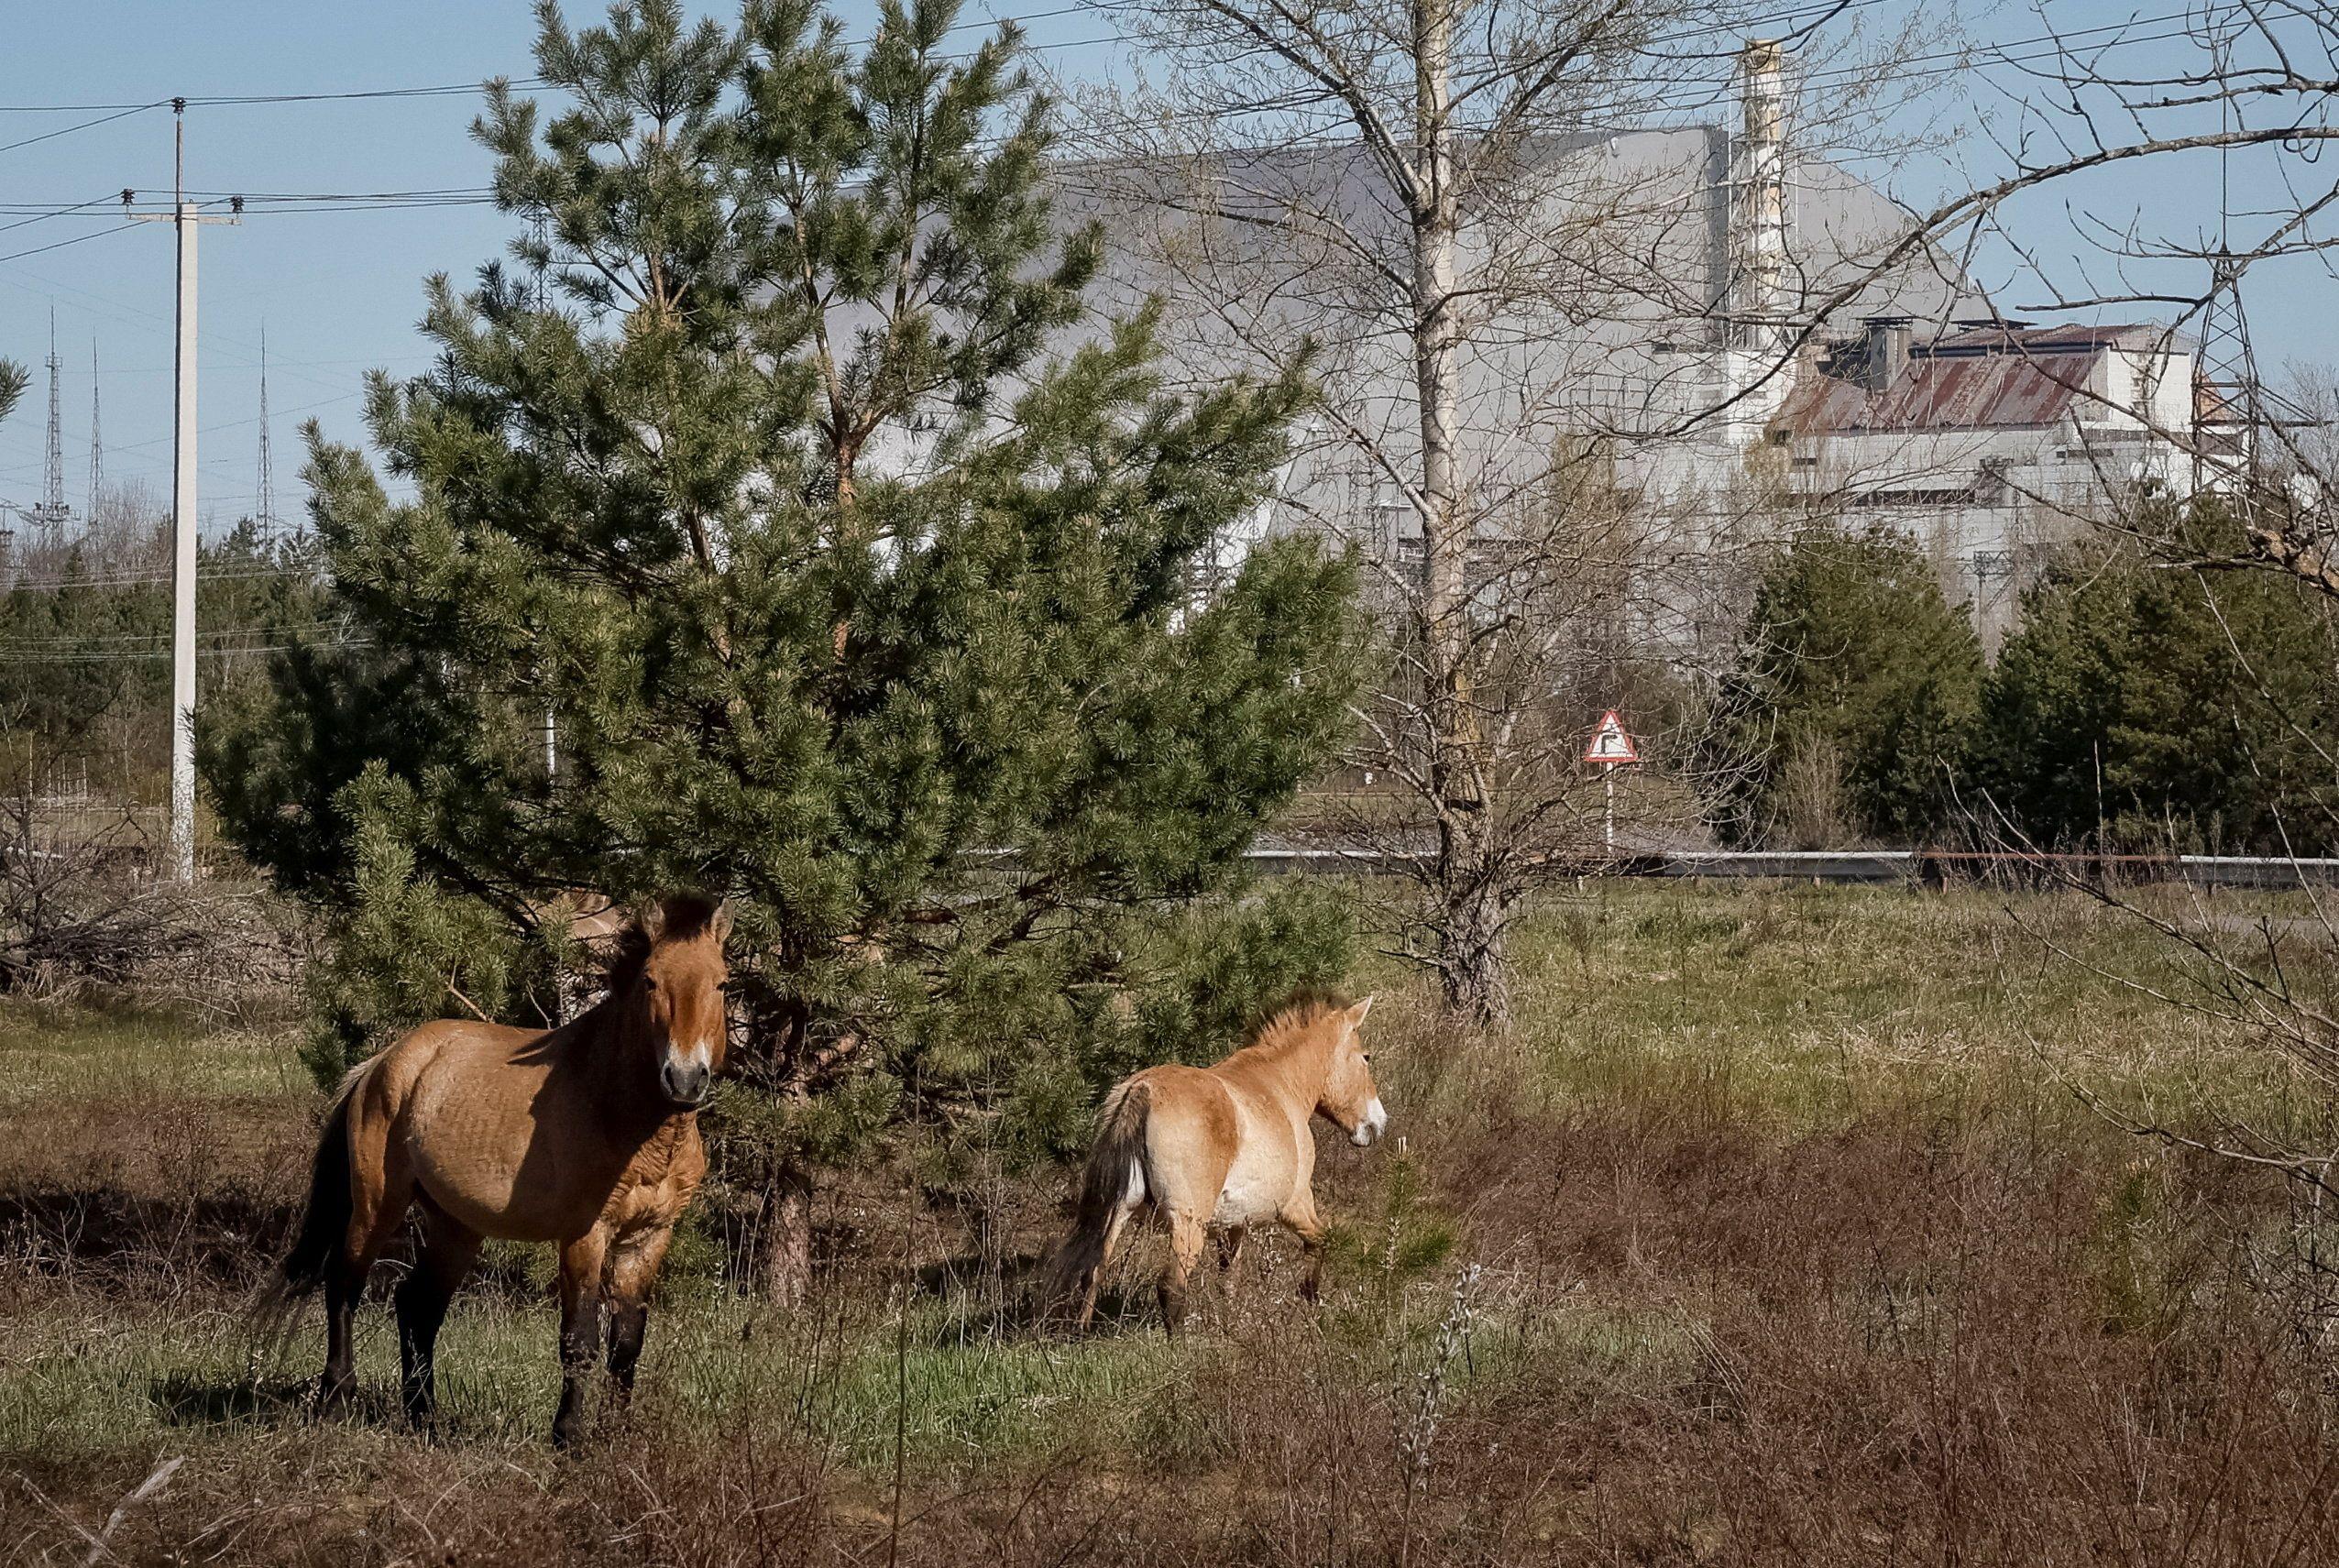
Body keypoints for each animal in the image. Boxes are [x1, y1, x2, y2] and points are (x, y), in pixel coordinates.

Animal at [261, 894, 731, 1448]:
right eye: (651, 982)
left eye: (722, 983)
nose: (684, 1079)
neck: (631, 1123)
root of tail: (380, 1063)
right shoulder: (585, 1236)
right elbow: (580, 1342)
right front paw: (569, 1438)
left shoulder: (649, 1237)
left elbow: (627, 1344)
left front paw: (616, 1436)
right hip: (377, 1206)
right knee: (344, 1285)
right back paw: (335, 1400)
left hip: (456, 1226)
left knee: (416, 1306)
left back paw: (425, 1420)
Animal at [1046, 991, 1386, 1334]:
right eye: (1366, 1057)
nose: (1378, 1124)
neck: (1279, 1084)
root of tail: (1141, 1091)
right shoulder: (1294, 1206)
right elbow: (1320, 1241)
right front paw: (1310, 1300)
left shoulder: (1234, 1224)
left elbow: (1229, 1277)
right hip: (1187, 1225)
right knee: (1171, 1286)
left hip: (1119, 1212)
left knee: (1094, 1271)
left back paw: (1081, 1332)